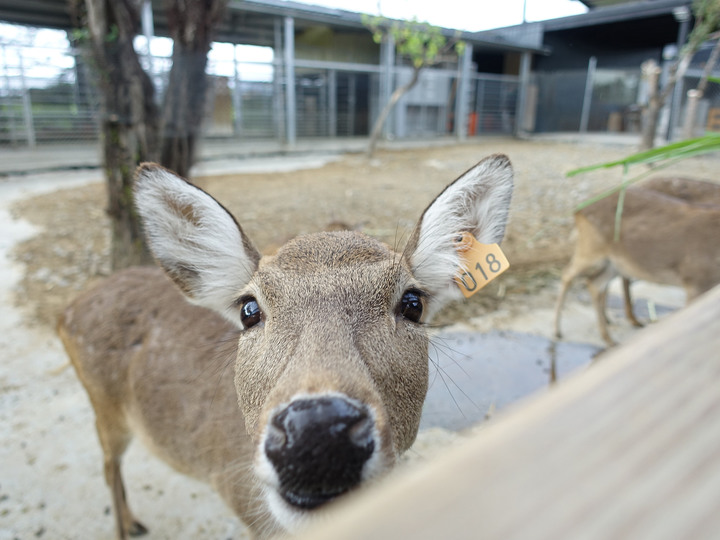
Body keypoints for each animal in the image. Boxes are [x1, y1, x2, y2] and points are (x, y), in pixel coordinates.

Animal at [59, 154, 516, 536]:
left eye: (413, 303)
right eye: (249, 309)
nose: (317, 435)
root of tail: (67, 310)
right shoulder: (237, 494)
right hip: (105, 407)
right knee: (107, 464)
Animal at [556, 178, 720, 346]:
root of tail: (578, 209)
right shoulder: (696, 281)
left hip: (613, 262)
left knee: (594, 283)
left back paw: (610, 337)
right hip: (591, 249)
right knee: (568, 274)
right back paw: (558, 331)